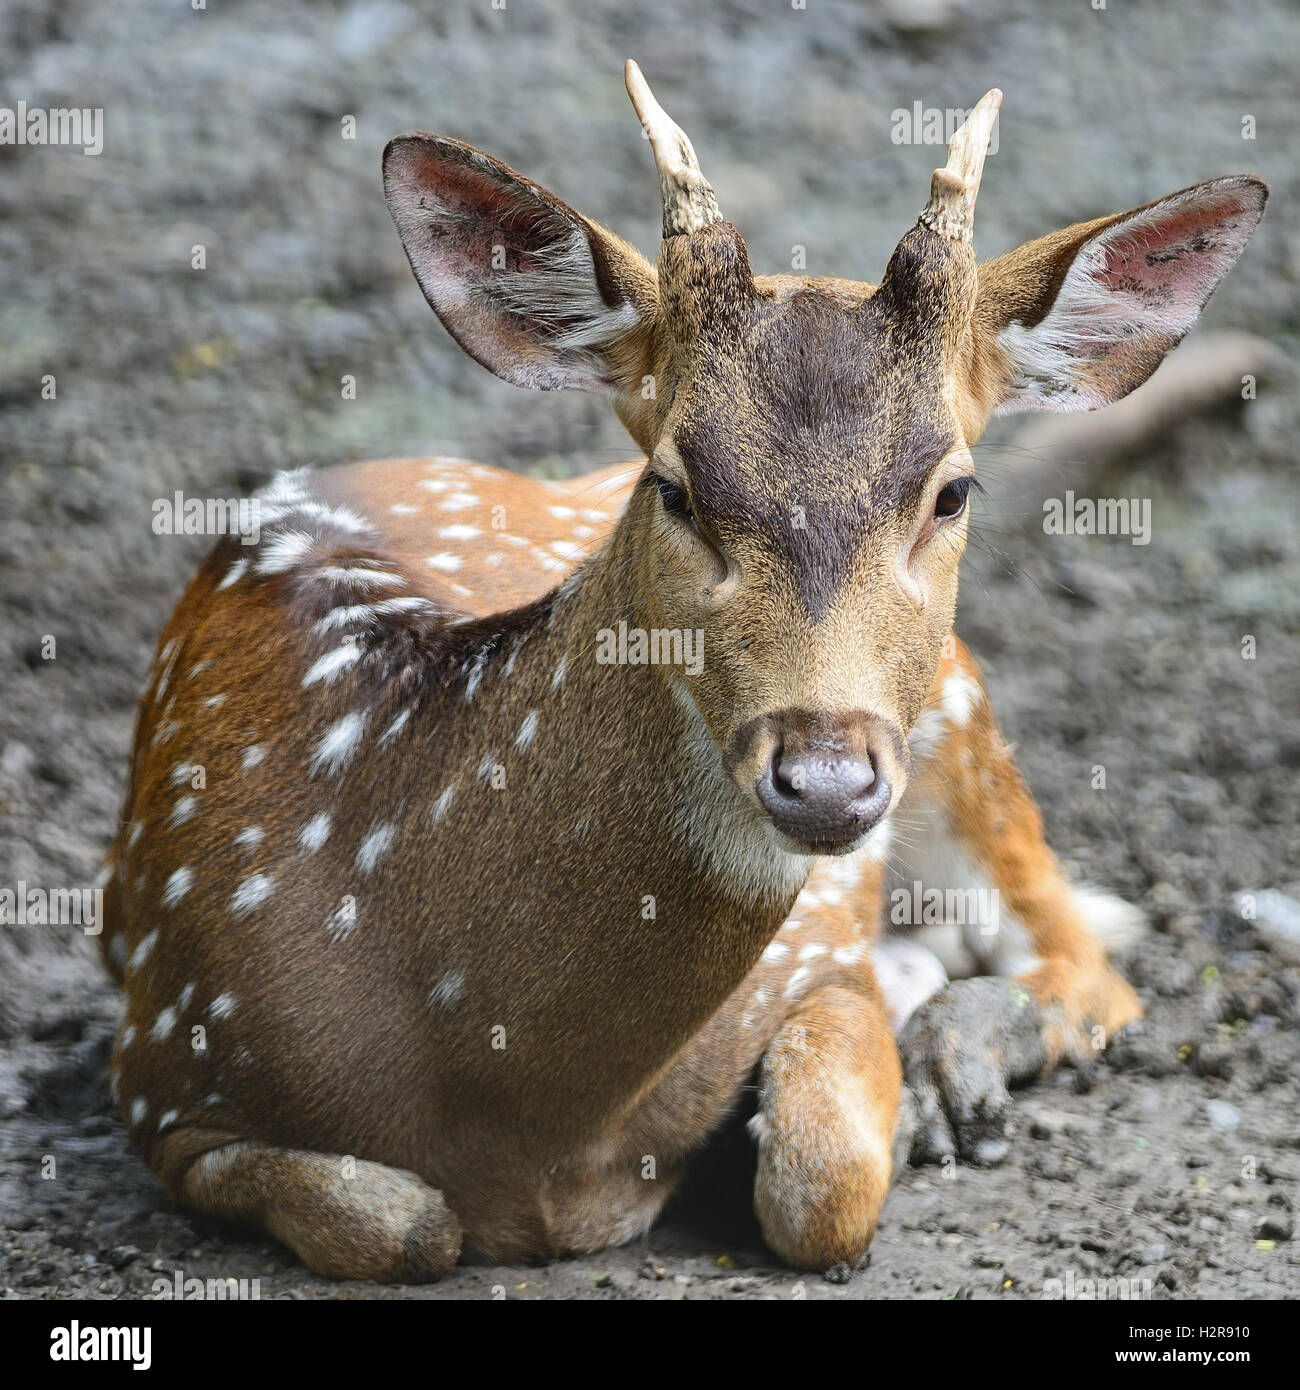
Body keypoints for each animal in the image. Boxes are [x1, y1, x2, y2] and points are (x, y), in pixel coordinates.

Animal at [101, 67, 1273, 1278]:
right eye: (673, 486)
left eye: (952, 490)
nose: (825, 779)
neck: (522, 1126)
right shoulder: (161, 1066)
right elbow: (400, 1222)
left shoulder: (816, 957)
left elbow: (821, 1179)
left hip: (959, 701)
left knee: (1085, 957)